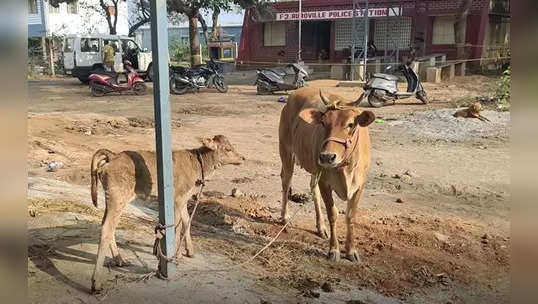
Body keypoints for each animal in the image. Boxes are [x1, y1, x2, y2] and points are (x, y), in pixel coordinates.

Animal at [88, 135, 243, 292]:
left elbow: (186, 221)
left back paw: (119, 260)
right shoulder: (178, 198)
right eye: (228, 149)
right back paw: (96, 282)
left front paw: (189, 251)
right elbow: (177, 225)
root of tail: (113, 156)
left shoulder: (184, 199)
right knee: (107, 229)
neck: (197, 165)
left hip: (111, 198)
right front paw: (176, 256)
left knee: (106, 225)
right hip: (117, 197)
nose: (242, 158)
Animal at [278, 88, 374, 262]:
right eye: (323, 122)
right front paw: (334, 250)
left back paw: (320, 227)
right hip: (286, 152)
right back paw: (286, 218)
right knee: (286, 181)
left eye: (351, 124)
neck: (345, 167)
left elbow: (351, 216)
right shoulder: (325, 182)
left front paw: (351, 250)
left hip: (314, 166)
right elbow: (333, 214)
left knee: (312, 187)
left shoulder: (360, 185)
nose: (327, 157)